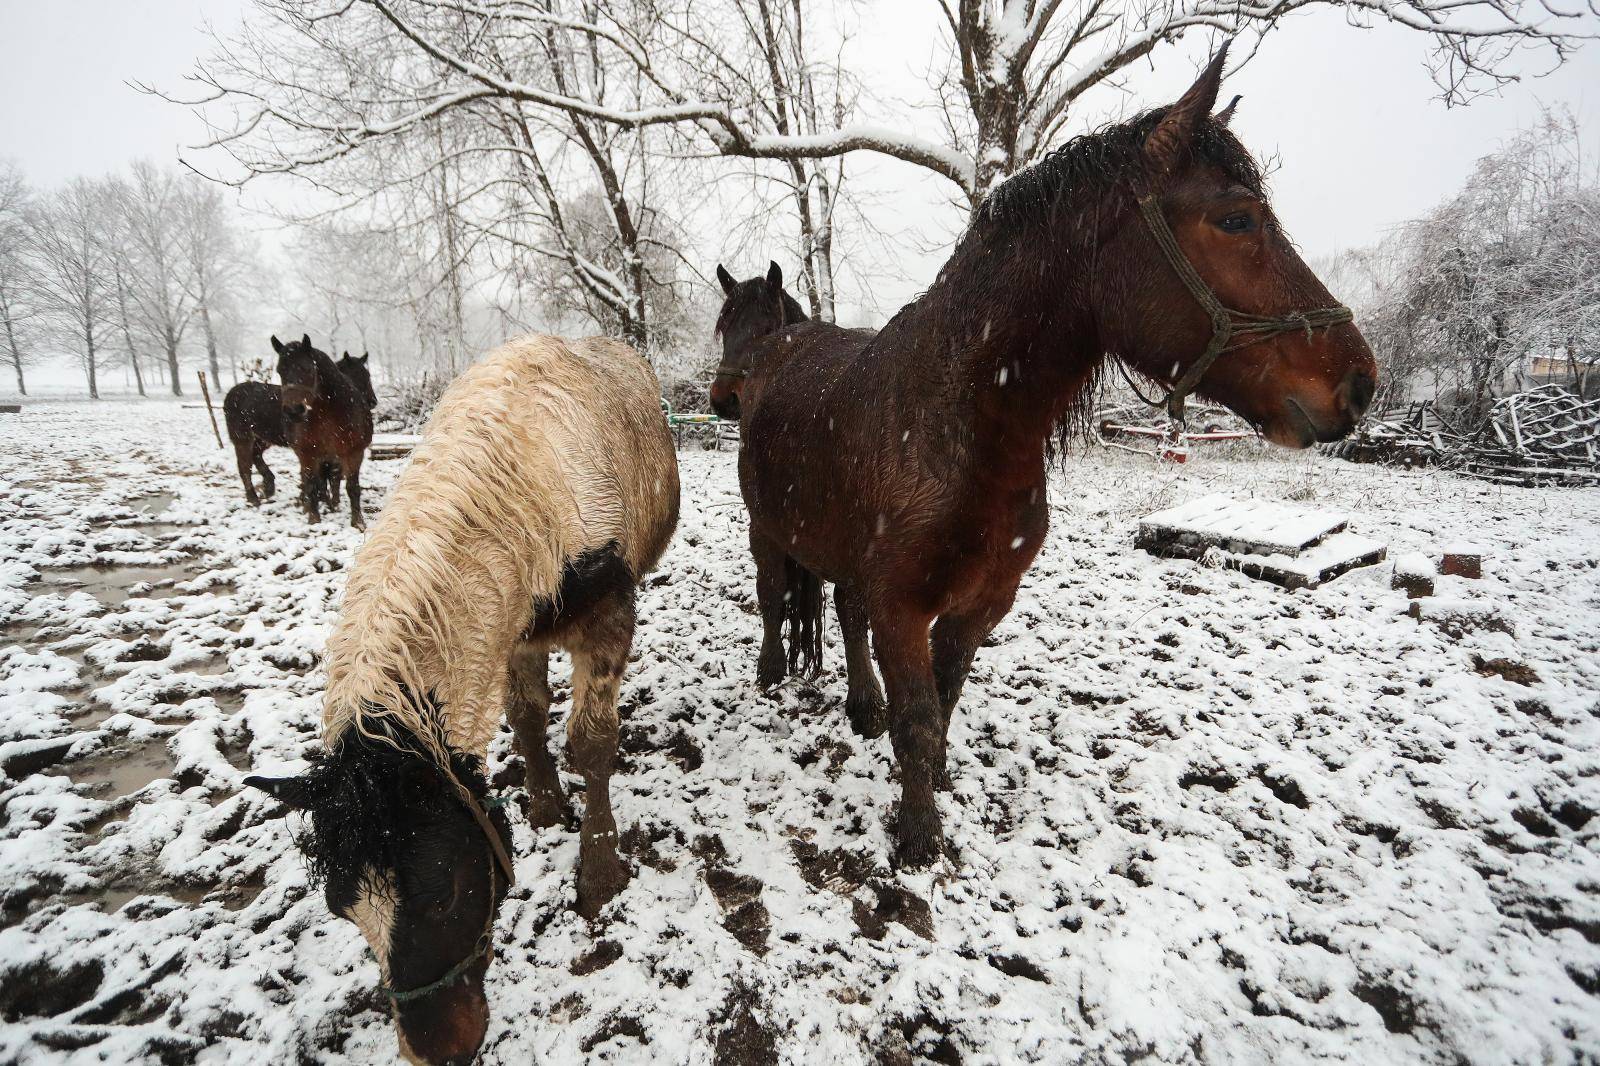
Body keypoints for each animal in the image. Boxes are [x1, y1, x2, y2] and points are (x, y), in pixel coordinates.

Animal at [275, 332, 377, 528]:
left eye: (306, 368)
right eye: (279, 371)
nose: (293, 411)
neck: (327, 415)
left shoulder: (353, 453)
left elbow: (351, 486)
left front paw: (357, 521)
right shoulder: (308, 454)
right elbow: (312, 484)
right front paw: (314, 517)